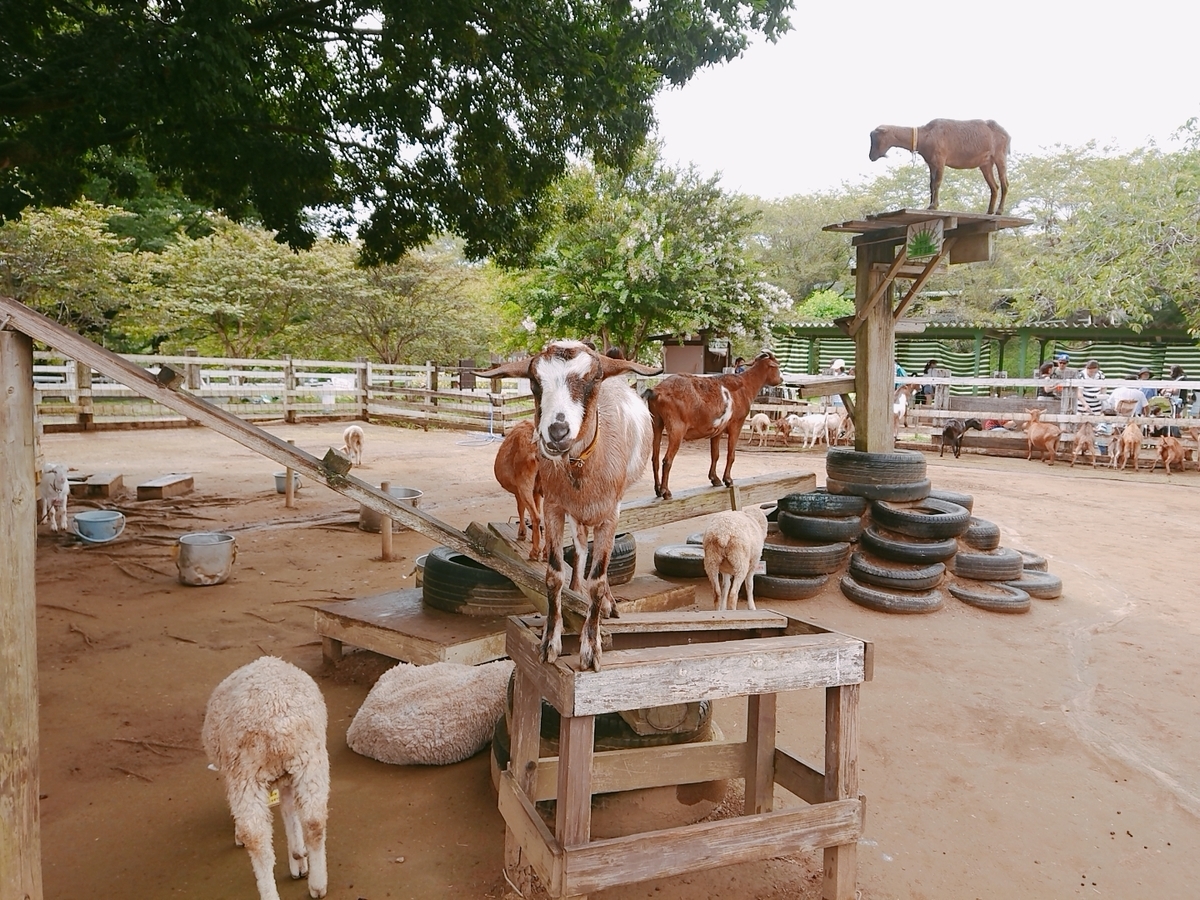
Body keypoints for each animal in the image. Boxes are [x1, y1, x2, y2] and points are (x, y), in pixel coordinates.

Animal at [201, 657, 331, 900]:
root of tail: (276, 724)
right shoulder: (289, 777)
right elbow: (290, 811)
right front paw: (298, 858)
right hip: (311, 762)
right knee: (314, 822)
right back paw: (318, 884)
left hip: (246, 776)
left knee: (258, 841)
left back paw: (269, 891)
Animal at [492, 420, 544, 561]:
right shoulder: (536, 490)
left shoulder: (518, 490)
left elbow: (520, 508)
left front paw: (522, 533)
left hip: (524, 482)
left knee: (536, 516)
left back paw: (534, 553)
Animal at [643, 352, 782, 504]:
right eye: (777, 366)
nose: (781, 378)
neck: (746, 384)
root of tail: (657, 391)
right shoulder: (737, 424)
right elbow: (731, 454)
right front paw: (728, 480)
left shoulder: (718, 430)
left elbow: (715, 454)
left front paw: (715, 479)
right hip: (676, 428)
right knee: (667, 460)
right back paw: (666, 492)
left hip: (656, 422)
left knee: (655, 458)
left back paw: (657, 490)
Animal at [868, 118, 1008, 214]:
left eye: (876, 138)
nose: (871, 156)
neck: (926, 136)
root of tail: (1005, 134)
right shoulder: (932, 164)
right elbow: (931, 184)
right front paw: (931, 205)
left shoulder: (940, 161)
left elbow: (937, 183)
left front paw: (933, 206)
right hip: (986, 164)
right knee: (994, 186)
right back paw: (990, 211)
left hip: (1000, 156)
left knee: (1004, 183)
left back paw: (999, 211)